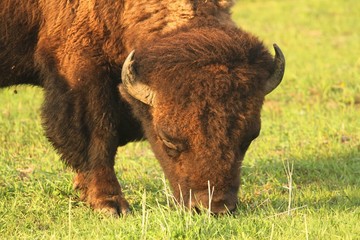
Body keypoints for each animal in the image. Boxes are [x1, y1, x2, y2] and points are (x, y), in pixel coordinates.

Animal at [1, 0, 286, 216]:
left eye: (248, 139)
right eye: (168, 140)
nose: (212, 207)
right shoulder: (80, 71)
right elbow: (98, 139)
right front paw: (111, 205)